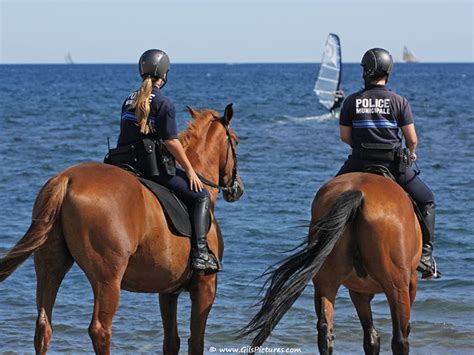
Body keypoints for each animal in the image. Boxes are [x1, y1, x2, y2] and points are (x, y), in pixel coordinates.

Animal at [0, 104, 244, 354]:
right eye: (235, 141)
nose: (238, 189)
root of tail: (66, 179)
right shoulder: (205, 287)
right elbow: (195, 342)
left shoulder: (168, 291)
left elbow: (171, 341)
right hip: (108, 278)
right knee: (100, 329)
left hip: (50, 266)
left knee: (43, 326)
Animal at [243, 172, 420, 354]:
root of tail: (359, 193)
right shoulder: (409, 283)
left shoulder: (359, 291)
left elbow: (370, 338)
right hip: (396, 286)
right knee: (400, 338)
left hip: (325, 283)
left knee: (325, 331)